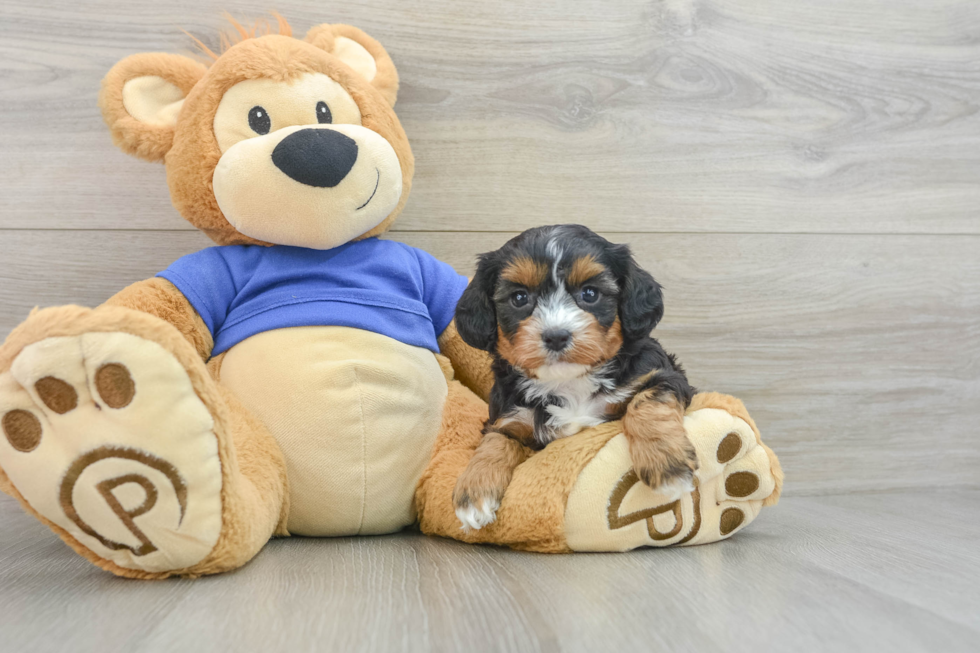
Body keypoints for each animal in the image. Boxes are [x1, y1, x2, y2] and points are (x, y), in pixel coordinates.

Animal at [452, 224, 696, 528]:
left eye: (590, 293)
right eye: (519, 298)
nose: (556, 336)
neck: (569, 381)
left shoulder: (665, 374)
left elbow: (648, 403)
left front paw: (666, 463)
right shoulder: (508, 416)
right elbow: (494, 440)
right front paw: (474, 492)